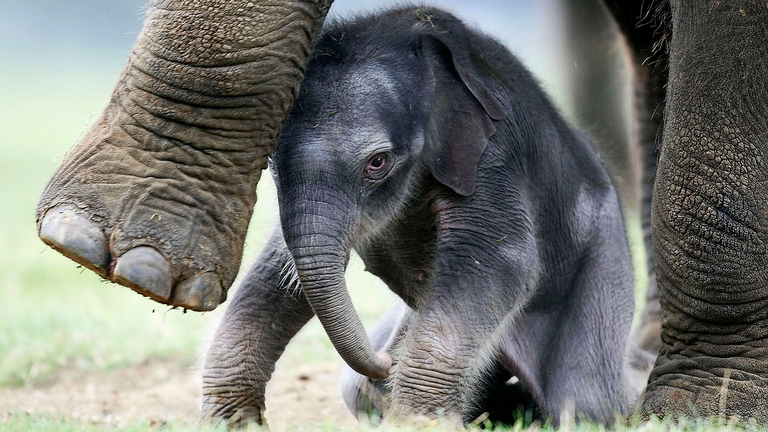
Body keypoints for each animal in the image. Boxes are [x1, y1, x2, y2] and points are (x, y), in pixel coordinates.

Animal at [35, 0, 768, 426]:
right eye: (269, 164)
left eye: (378, 163)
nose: (384, 363)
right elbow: (282, 270)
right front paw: (229, 420)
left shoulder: (493, 156)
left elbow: (499, 263)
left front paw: (415, 417)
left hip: (600, 284)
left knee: (580, 403)